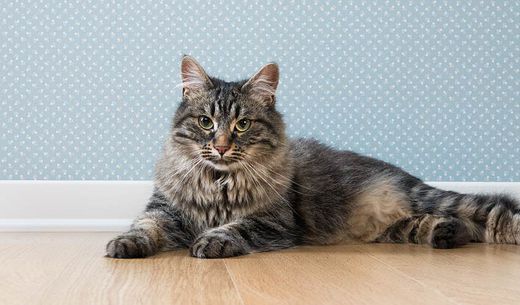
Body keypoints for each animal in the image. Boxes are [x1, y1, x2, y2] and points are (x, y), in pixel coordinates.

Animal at [105, 55, 520, 258]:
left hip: (430, 198)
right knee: (446, 226)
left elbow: (234, 228)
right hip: (398, 226)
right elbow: (144, 228)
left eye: (242, 124)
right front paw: (124, 245)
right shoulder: (164, 211)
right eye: (206, 122)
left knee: (493, 212)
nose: (221, 145)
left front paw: (211, 241)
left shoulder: (274, 222)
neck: (219, 181)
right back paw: (445, 234)